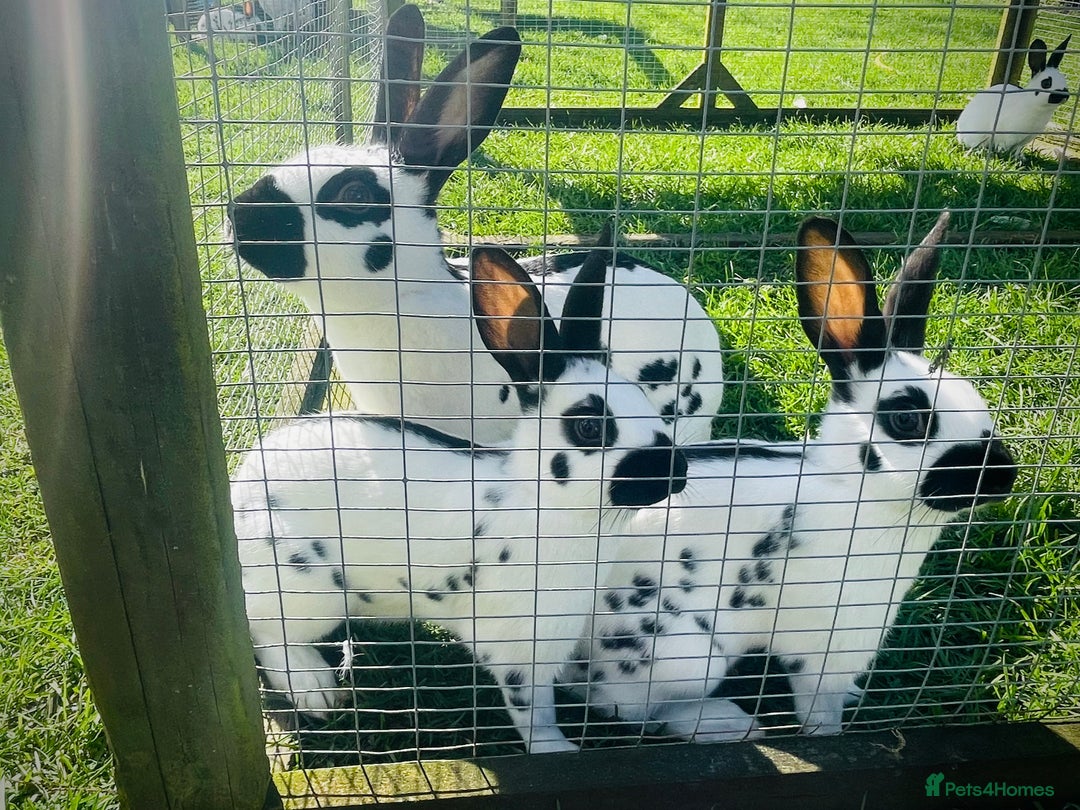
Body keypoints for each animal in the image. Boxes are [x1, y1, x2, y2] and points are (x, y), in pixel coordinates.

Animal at [231, 238, 691, 754]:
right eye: (590, 427)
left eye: (644, 400)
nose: (678, 472)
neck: (544, 504)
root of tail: (242, 489)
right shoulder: (519, 651)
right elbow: (534, 713)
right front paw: (558, 751)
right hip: (307, 591)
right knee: (264, 630)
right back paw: (317, 690)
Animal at [560, 211, 1018, 743]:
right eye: (906, 419)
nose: (1003, 475)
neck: (853, 493)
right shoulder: (827, 645)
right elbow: (818, 702)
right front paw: (828, 734)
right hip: (685, 655)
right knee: (622, 707)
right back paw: (729, 722)